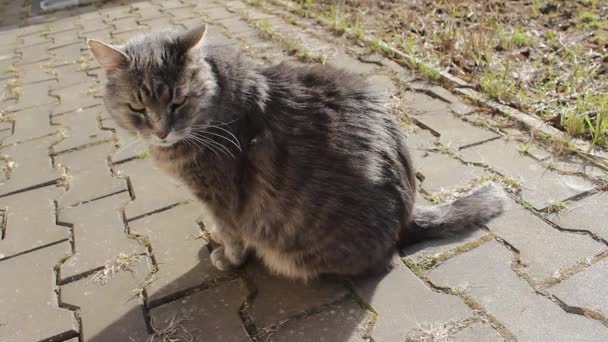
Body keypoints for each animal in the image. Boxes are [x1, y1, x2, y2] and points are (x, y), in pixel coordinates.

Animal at [88, 24, 506, 280]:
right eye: (137, 108)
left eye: (178, 101)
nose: (161, 131)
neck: (216, 99)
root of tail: (406, 217)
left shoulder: (221, 199)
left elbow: (232, 235)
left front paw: (227, 256)